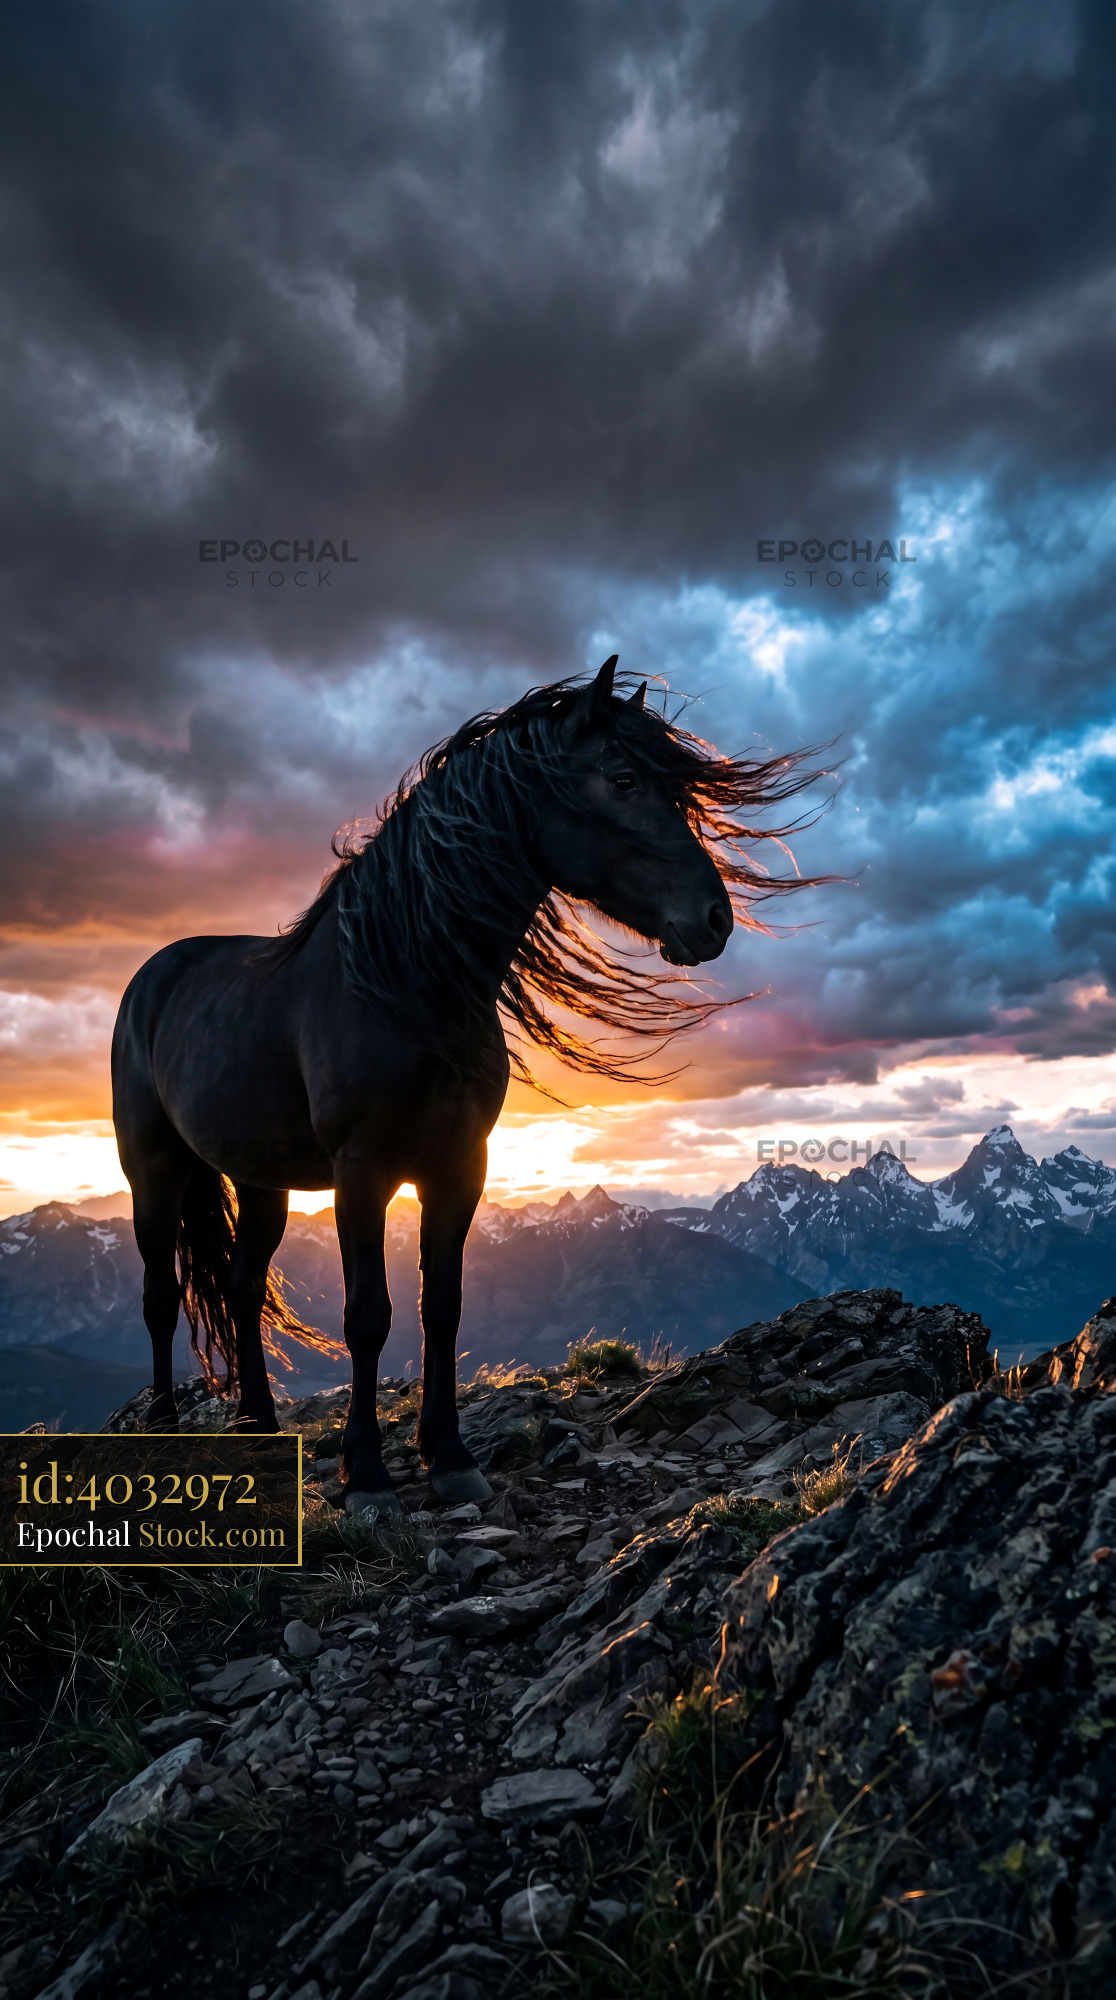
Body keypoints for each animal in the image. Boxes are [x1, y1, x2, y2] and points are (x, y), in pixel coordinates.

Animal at [111, 657, 822, 1514]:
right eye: (622, 779)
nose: (714, 919)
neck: (404, 985)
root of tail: (154, 974)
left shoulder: (460, 1165)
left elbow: (441, 1308)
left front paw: (448, 1457)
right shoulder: (362, 1172)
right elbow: (368, 1316)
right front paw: (367, 1473)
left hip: (260, 1180)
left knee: (243, 1287)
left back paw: (258, 1424)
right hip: (156, 1172)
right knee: (160, 1295)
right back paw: (162, 1432)